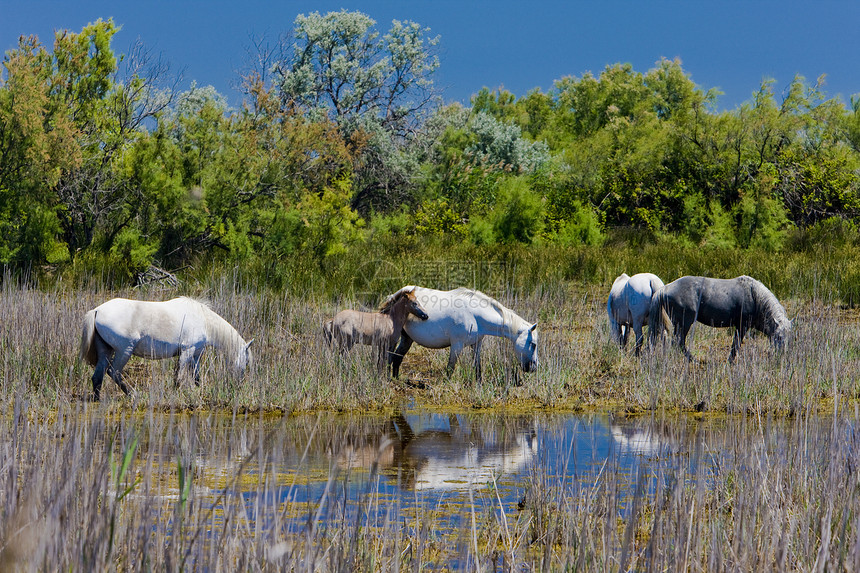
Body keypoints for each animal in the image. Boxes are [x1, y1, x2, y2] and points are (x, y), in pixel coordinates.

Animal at [80, 298, 252, 400]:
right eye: (246, 362)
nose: (240, 385)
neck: (203, 320)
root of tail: (97, 310)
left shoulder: (196, 354)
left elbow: (195, 376)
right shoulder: (187, 351)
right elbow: (178, 376)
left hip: (106, 350)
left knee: (98, 377)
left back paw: (98, 399)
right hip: (124, 351)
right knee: (114, 372)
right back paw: (133, 394)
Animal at [388, 284, 536, 380]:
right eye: (533, 344)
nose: (534, 367)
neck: (475, 315)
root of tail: (394, 295)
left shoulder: (476, 344)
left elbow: (477, 367)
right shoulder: (457, 345)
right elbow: (450, 368)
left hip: (407, 338)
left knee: (397, 357)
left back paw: (396, 379)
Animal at [644, 274, 792, 362]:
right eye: (778, 337)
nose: (783, 355)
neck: (754, 296)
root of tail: (665, 289)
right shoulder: (742, 326)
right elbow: (736, 344)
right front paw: (730, 361)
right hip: (685, 323)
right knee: (679, 342)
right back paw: (693, 360)